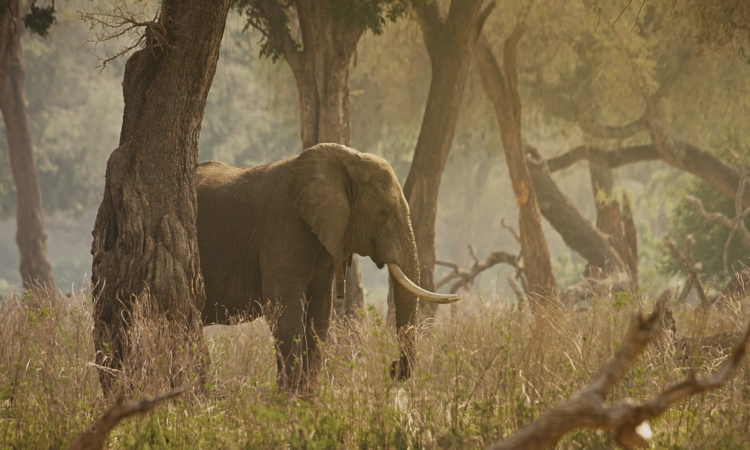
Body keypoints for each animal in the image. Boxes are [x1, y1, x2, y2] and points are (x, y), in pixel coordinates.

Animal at [196, 143, 457, 391]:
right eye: (383, 212)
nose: (394, 369)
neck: (347, 160)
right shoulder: (282, 231)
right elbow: (285, 310)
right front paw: (287, 398)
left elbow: (319, 312)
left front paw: (306, 397)